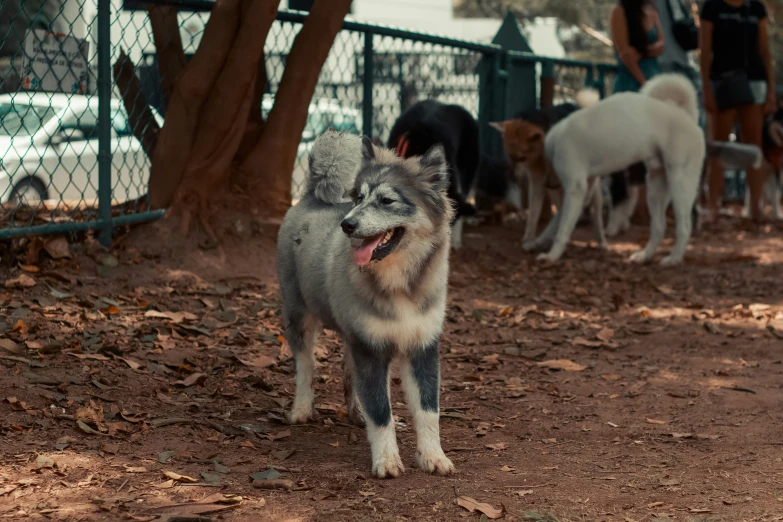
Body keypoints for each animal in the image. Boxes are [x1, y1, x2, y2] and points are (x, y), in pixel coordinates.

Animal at [278, 129, 456, 476]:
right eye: (359, 198)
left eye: (387, 201)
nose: (347, 225)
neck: (399, 284)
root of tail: (311, 196)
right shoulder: (371, 348)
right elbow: (380, 410)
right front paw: (386, 461)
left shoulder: (422, 348)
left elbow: (428, 410)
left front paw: (433, 456)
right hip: (298, 315)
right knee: (306, 364)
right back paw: (302, 407)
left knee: (350, 372)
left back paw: (355, 412)